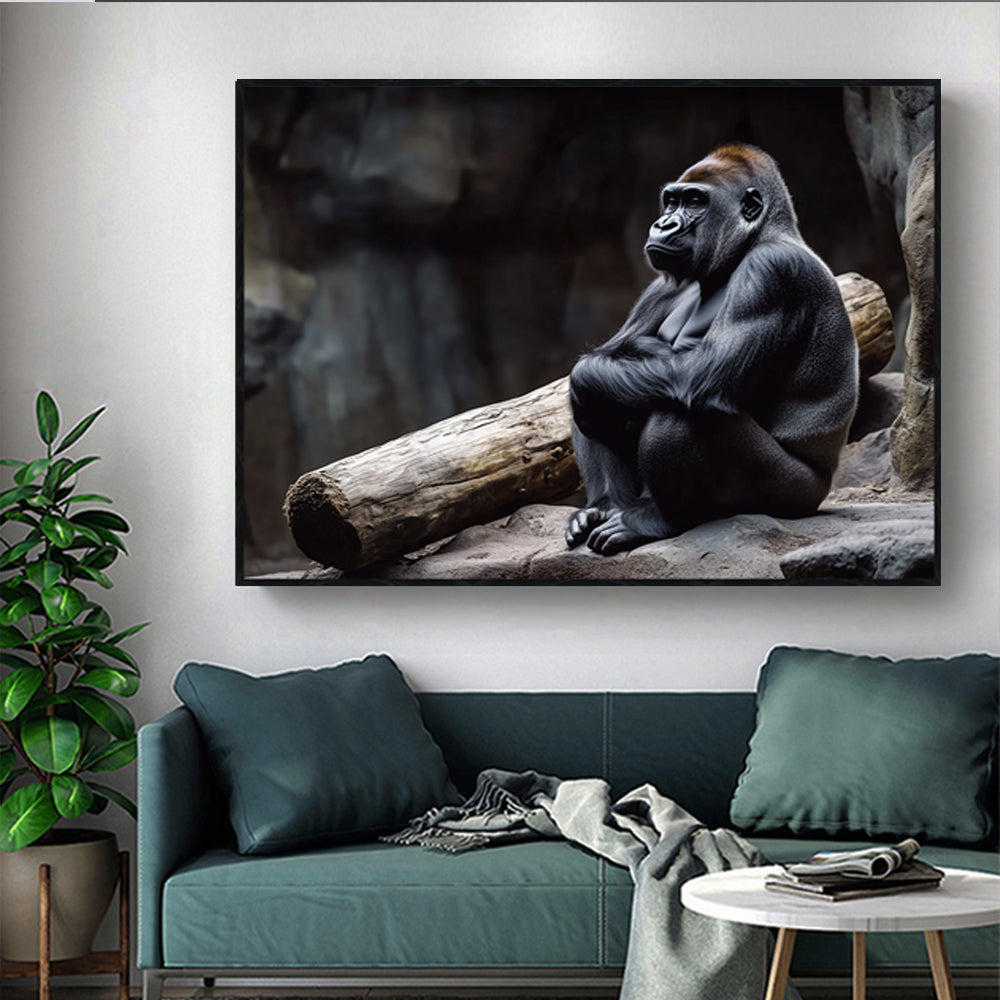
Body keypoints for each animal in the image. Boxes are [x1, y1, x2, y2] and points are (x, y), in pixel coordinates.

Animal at [566, 143, 859, 555]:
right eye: (671, 202)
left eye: (695, 201)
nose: (663, 225)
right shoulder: (660, 288)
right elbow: (610, 356)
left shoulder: (774, 271)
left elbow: (694, 375)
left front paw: (587, 378)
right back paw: (605, 506)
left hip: (794, 495)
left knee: (675, 412)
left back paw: (661, 520)